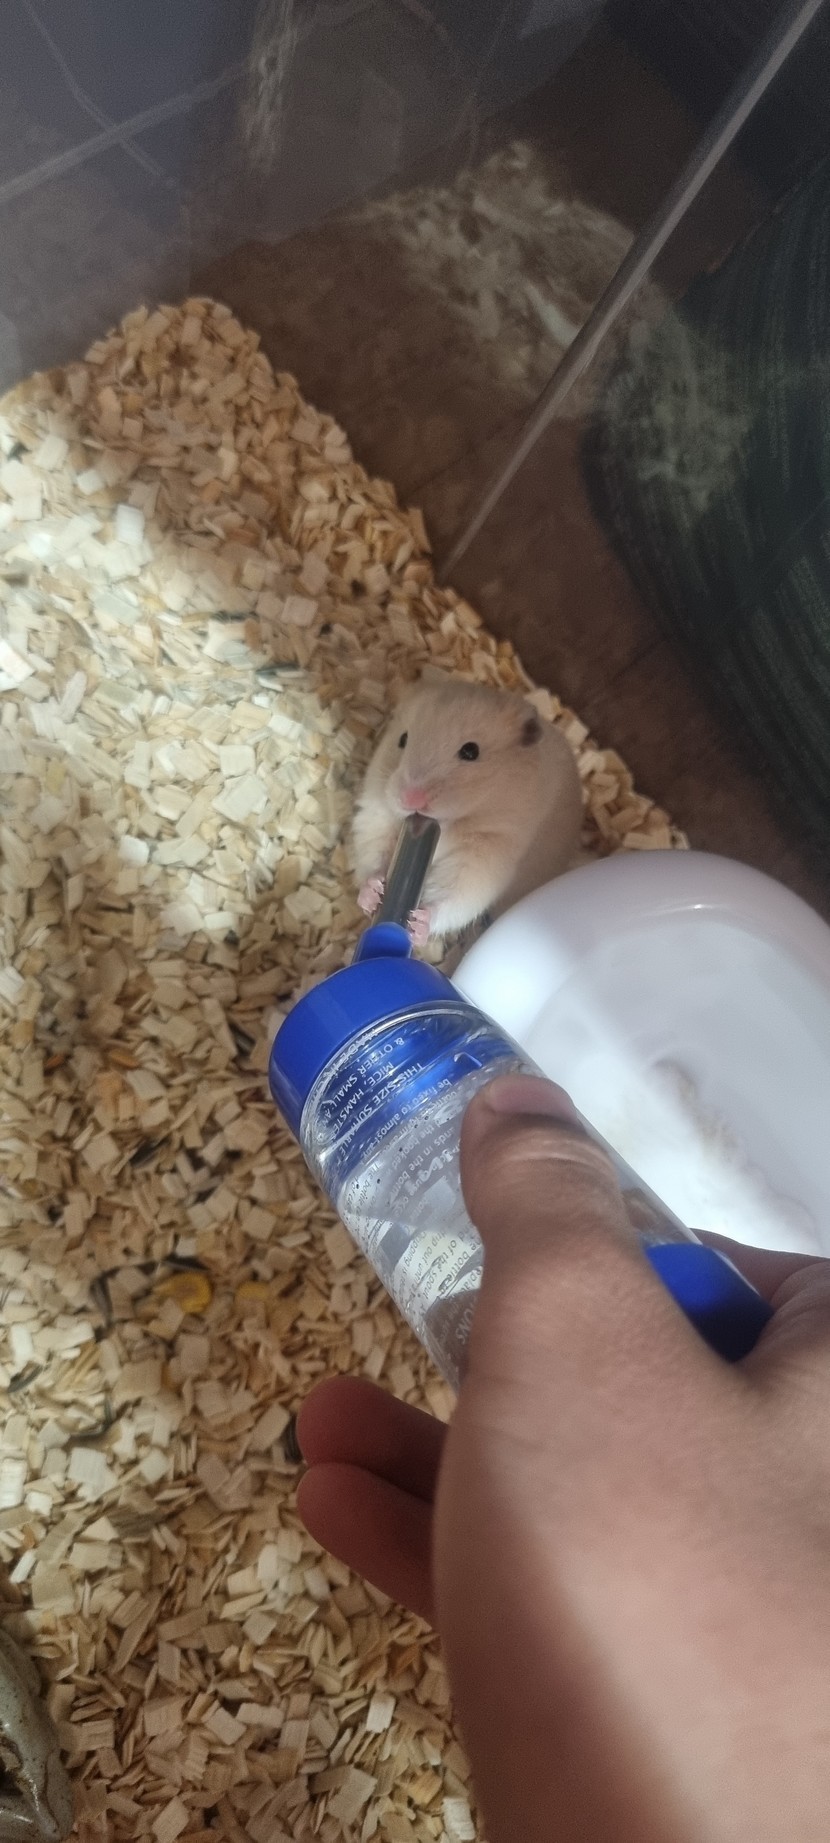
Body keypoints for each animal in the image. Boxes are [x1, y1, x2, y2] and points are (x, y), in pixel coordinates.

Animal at [352, 671, 584, 942]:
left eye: (471, 751)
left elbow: (455, 895)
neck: (450, 824)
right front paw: (372, 894)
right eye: (403, 739)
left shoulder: (487, 855)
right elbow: (373, 856)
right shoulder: (377, 815)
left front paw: (416, 924)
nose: (410, 799)